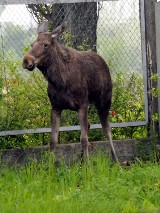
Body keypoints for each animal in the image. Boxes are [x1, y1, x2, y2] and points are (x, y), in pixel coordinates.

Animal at [22, 21, 119, 161]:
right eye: (32, 44)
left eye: (45, 44)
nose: (26, 60)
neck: (60, 80)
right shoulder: (56, 107)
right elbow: (53, 141)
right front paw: (51, 165)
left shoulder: (82, 104)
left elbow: (83, 139)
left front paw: (88, 165)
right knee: (89, 125)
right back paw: (81, 159)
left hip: (104, 101)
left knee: (107, 129)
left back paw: (115, 160)